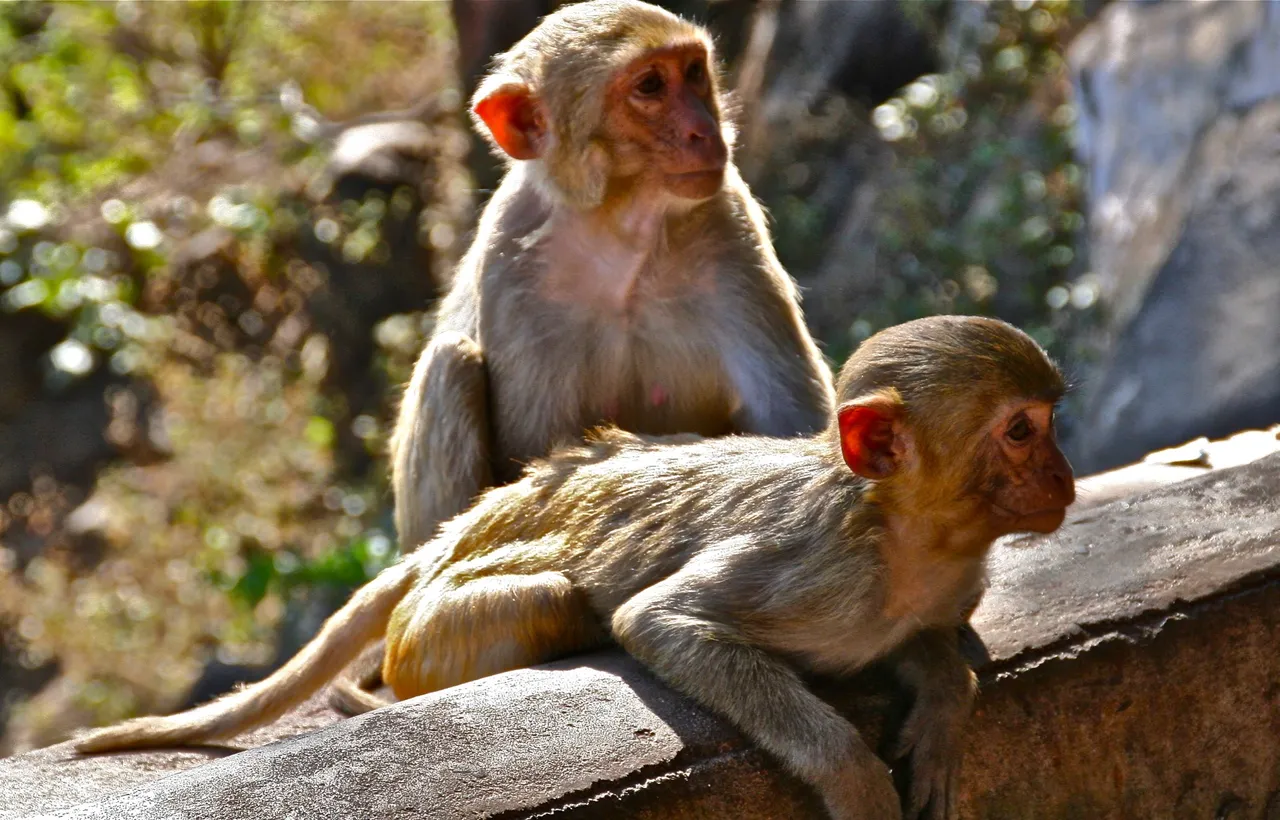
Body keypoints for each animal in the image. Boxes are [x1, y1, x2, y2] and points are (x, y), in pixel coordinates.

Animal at [80, 314, 1075, 818]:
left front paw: (944, 707)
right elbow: (659, 620)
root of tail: (468, 524)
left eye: (1047, 425)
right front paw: (853, 777)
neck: (910, 532)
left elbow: (929, 647)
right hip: (439, 623)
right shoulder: (823, 566)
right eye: (1022, 431)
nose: (1063, 476)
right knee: (556, 601)